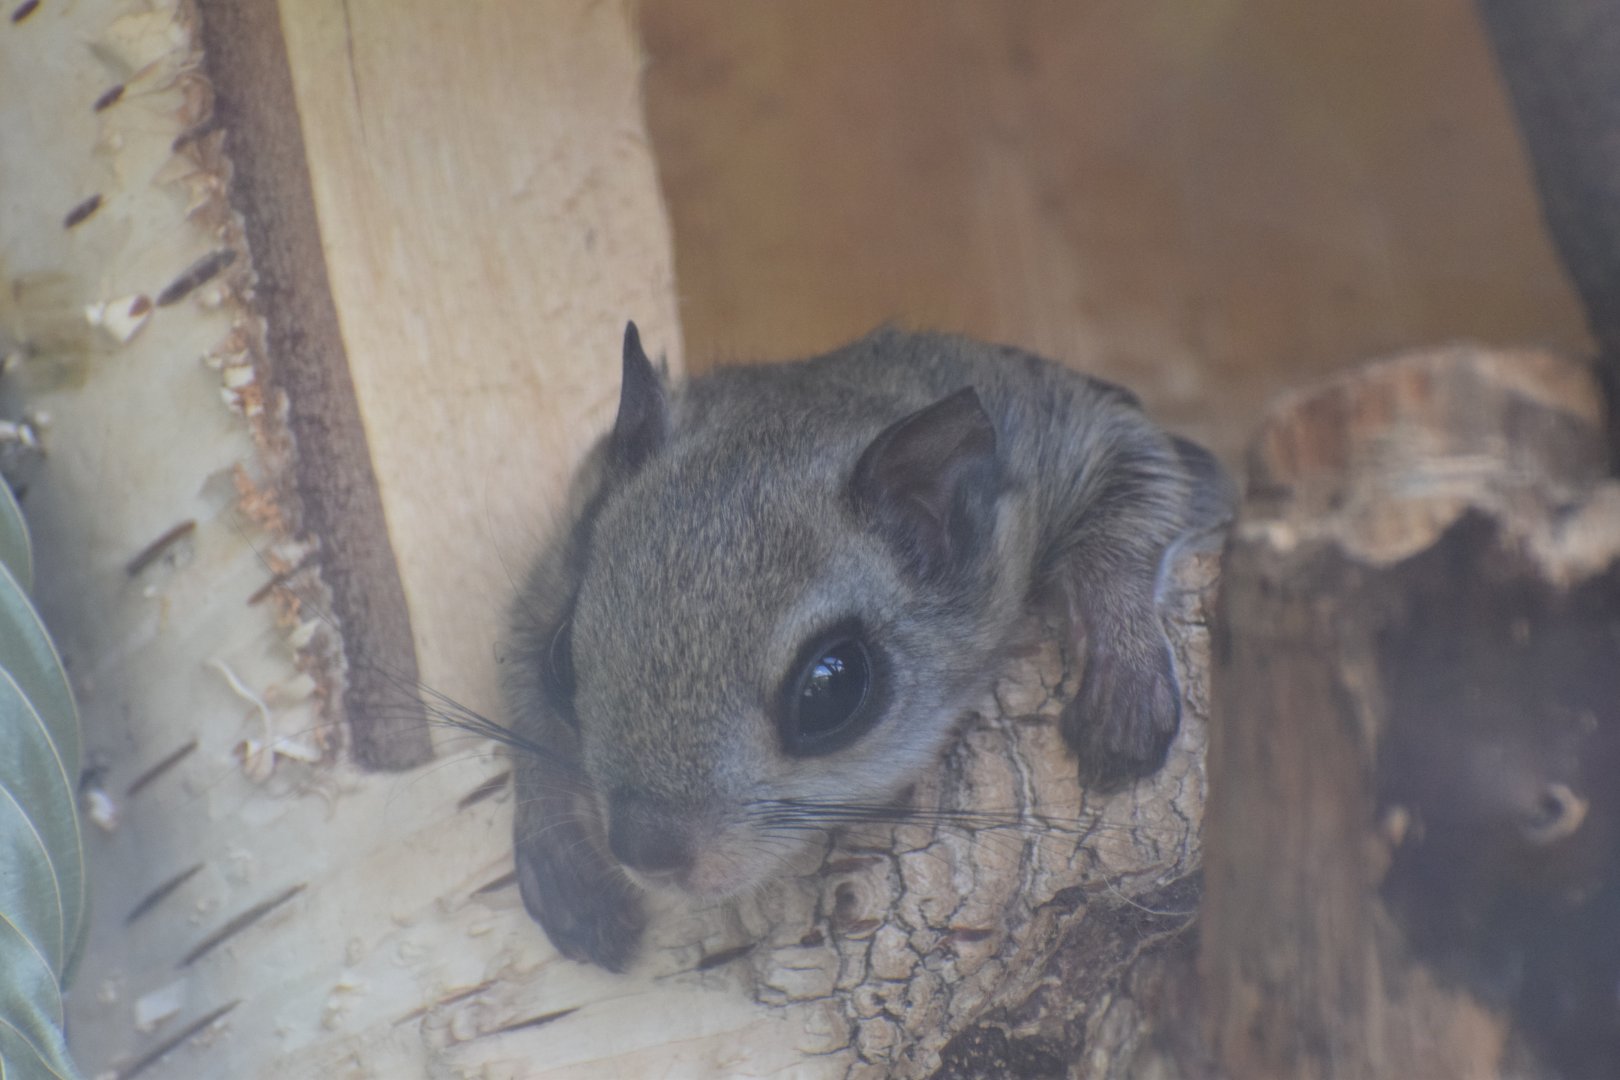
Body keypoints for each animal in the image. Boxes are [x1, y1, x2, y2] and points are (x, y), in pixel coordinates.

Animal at [503, 323, 1232, 971]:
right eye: (562, 663)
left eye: (831, 687)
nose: (648, 852)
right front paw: (558, 848)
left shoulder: (1072, 429)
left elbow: (1137, 493)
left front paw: (1124, 674)